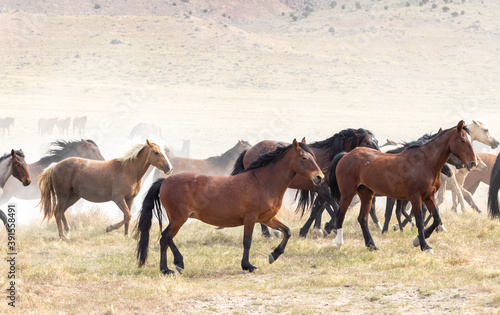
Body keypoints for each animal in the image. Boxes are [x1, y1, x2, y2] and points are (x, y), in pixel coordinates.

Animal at [38, 141, 174, 239]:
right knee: (57, 212)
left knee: (62, 212)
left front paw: (126, 235)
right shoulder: (118, 199)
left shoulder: (129, 199)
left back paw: (67, 231)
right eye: (156, 152)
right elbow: (128, 215)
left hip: (73, 196)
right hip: (63, 195)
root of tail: (55, 165)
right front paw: (110, 227)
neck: (127, 170)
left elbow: (128, 217)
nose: (169, 168)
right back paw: (62, 236)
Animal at [136, 139, 324, 276]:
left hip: (177, 218)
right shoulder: (251, 218)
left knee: (166, 239)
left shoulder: (267, 218)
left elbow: (287, 231)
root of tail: (164, 181)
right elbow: (247, 241)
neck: (262, 181)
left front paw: (274, 255)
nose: (320, 177)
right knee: (166, 237)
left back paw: (169, 267)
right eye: (304, 158)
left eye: (313, 157)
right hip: (179, 218)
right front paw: (248, 265)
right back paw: (173, 266)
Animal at [230, 128, 378, 237]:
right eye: (368, 142)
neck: (329, 157)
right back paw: (268, 233)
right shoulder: (323, 189)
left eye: (376, 141)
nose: (378, 156)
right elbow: (335, 207)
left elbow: (317, 209)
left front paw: (307, 231)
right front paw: (330, 228)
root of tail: (248, 150)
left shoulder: (321, 190)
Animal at [332, 122, 476, 256]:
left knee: (363, 219)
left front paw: (417, 240)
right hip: (348, 193)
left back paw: (372, 246)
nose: (473, 163)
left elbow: (436, 218)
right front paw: (425, 246)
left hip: (366, 194)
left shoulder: (429, 197)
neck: (424, 162)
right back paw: (339, 243)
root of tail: (346, 155)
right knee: (340, 216)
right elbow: (419, 221)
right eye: (463, 140)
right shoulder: (415, 197)